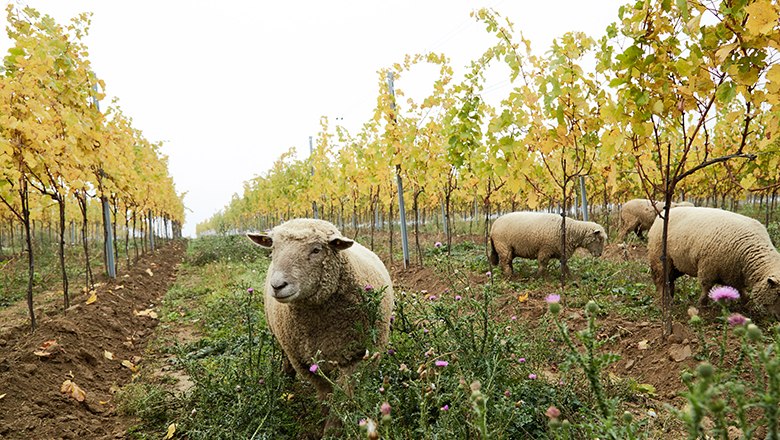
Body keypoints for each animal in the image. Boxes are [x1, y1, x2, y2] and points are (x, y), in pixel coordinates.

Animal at [247, 218, 394, 428]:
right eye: (273, 247)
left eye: (316, 250)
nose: (277, 285)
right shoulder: (304, 362)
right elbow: (325, 394)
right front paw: (325, 419)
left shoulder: (358, 358)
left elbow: (343, 399)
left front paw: (334, 428)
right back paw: (286, 379)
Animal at [644, 207, 780, 320]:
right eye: (778, 294)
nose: (778, 318)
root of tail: (662, 214)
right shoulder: (708, 267)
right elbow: (706, 287)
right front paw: (702, 305)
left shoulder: (733, 274)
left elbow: (741, 291)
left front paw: (746, 305)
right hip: (659, 258)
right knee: (661, 280)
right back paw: (663, 300)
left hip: (676, 265)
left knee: (669, 280)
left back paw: (670, 297)